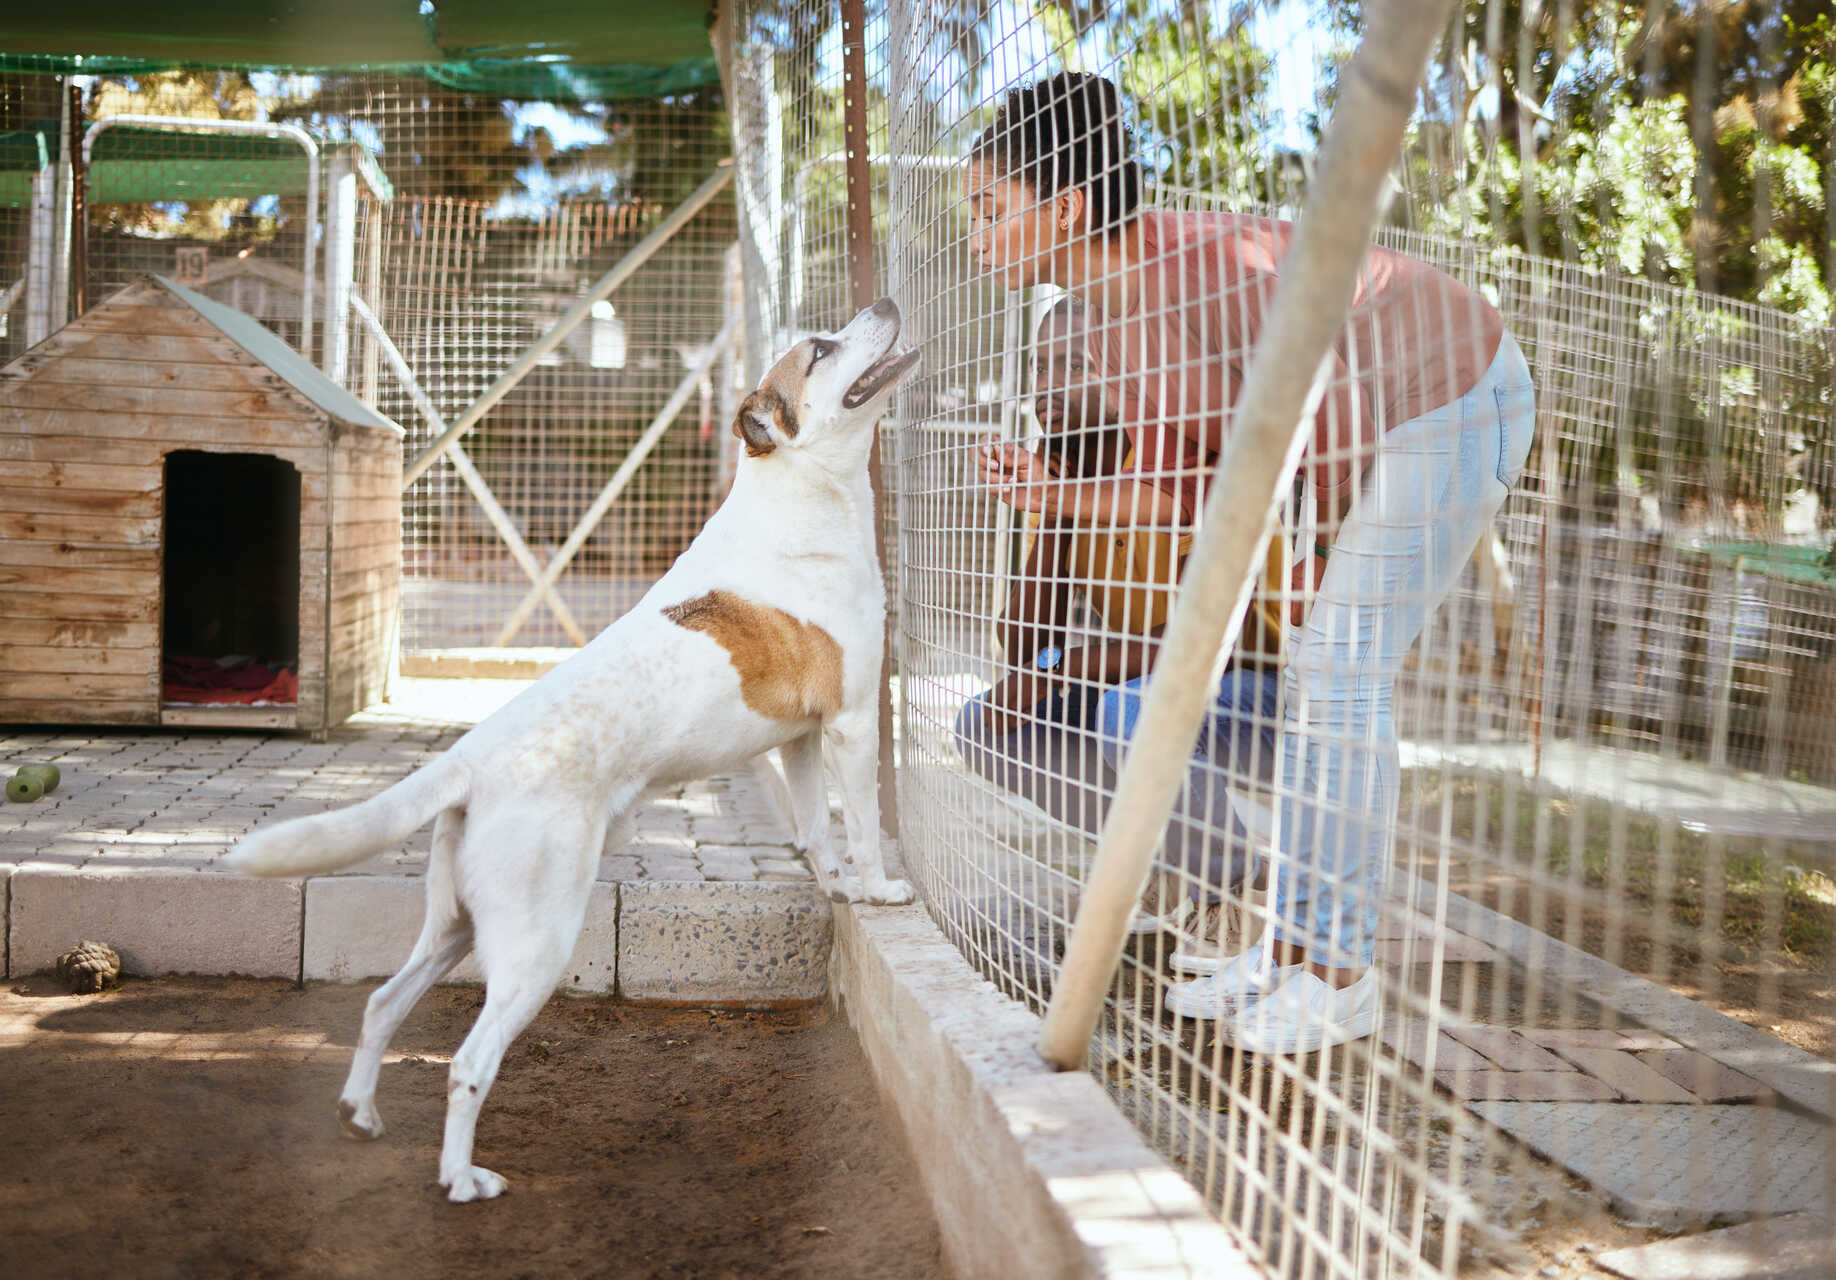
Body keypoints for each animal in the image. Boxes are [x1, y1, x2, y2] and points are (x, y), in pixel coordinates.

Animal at [225, 297, 918, 1197]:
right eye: (822, 350)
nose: (886, 305)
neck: (798, 491)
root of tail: (468, 760)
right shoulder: (853, 722)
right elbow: (863, 825)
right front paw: (878, 890)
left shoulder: (799, 738)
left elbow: (814, 828)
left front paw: (833, 884)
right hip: (537, 941)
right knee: (467, 1063)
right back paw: (462, 1180)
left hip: (457, 928)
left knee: (382, 1004)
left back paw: (363, 1117)